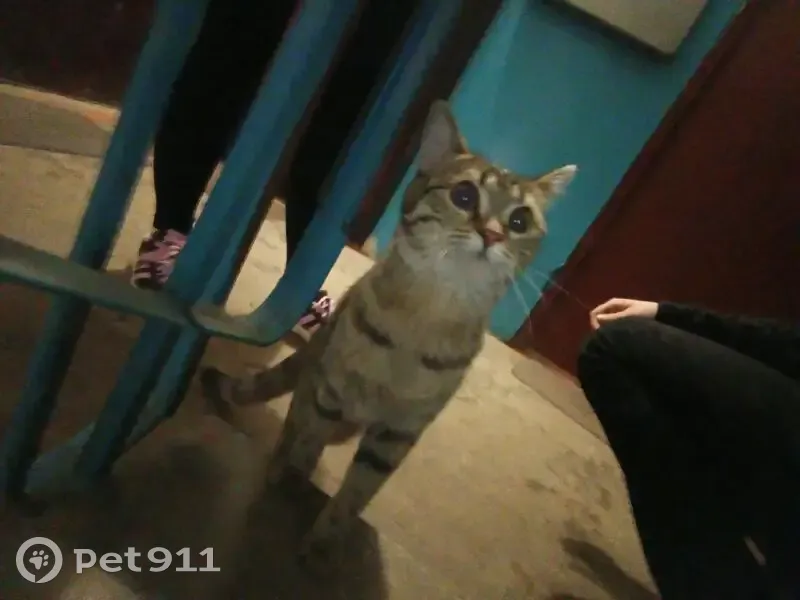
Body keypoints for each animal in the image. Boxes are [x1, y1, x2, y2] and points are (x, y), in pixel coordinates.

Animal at [200, 100, 576, 569]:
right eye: (464, 195)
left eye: (520, 220)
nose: (492, 234)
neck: (428, 316)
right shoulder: (330, 398)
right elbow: (305, 447)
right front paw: (292, 493)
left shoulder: (398, 434)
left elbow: (355, 494)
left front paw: (323, 541)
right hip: (318, 393)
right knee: (293, 426)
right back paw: (277, 468)